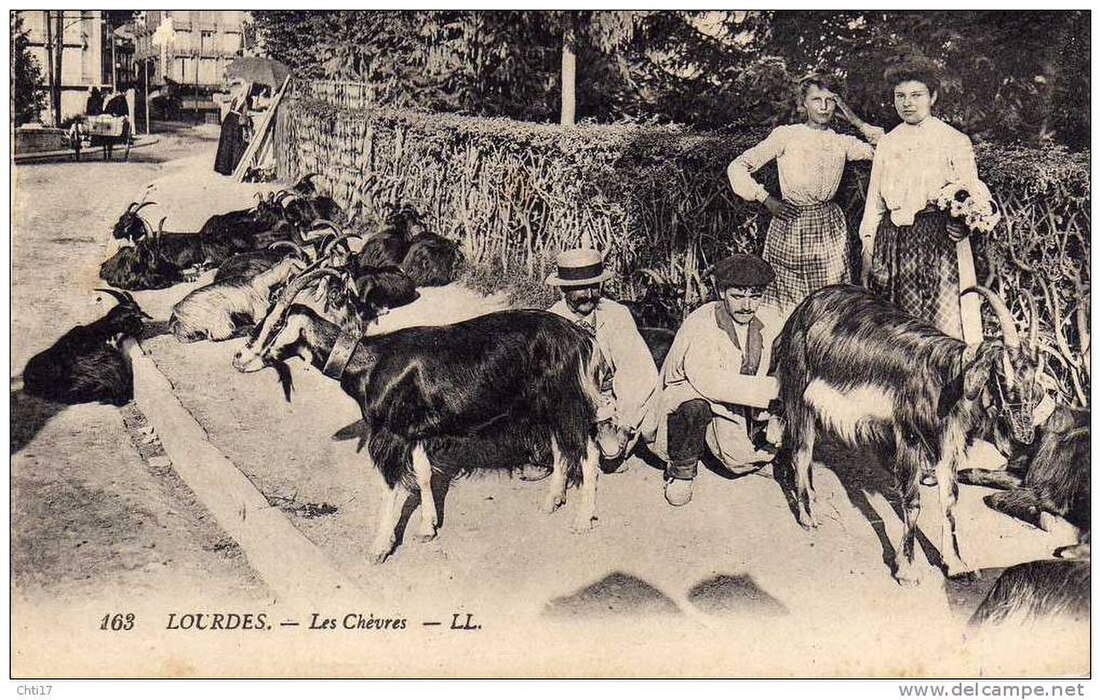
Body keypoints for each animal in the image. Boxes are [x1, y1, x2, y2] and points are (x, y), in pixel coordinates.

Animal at [233, 267, 611, 563]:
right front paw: (428, 527)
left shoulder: (390, 436)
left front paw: (379, 547)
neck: (369, 362)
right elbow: (425, 473)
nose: (238, 358)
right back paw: (552, 501)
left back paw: (582, 520)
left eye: (274, 325)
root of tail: (583, 338)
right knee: (562, 446)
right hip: (545, 403)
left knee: (588, 451)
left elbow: (391, 486)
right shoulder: (412, 431)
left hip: (566, 399)